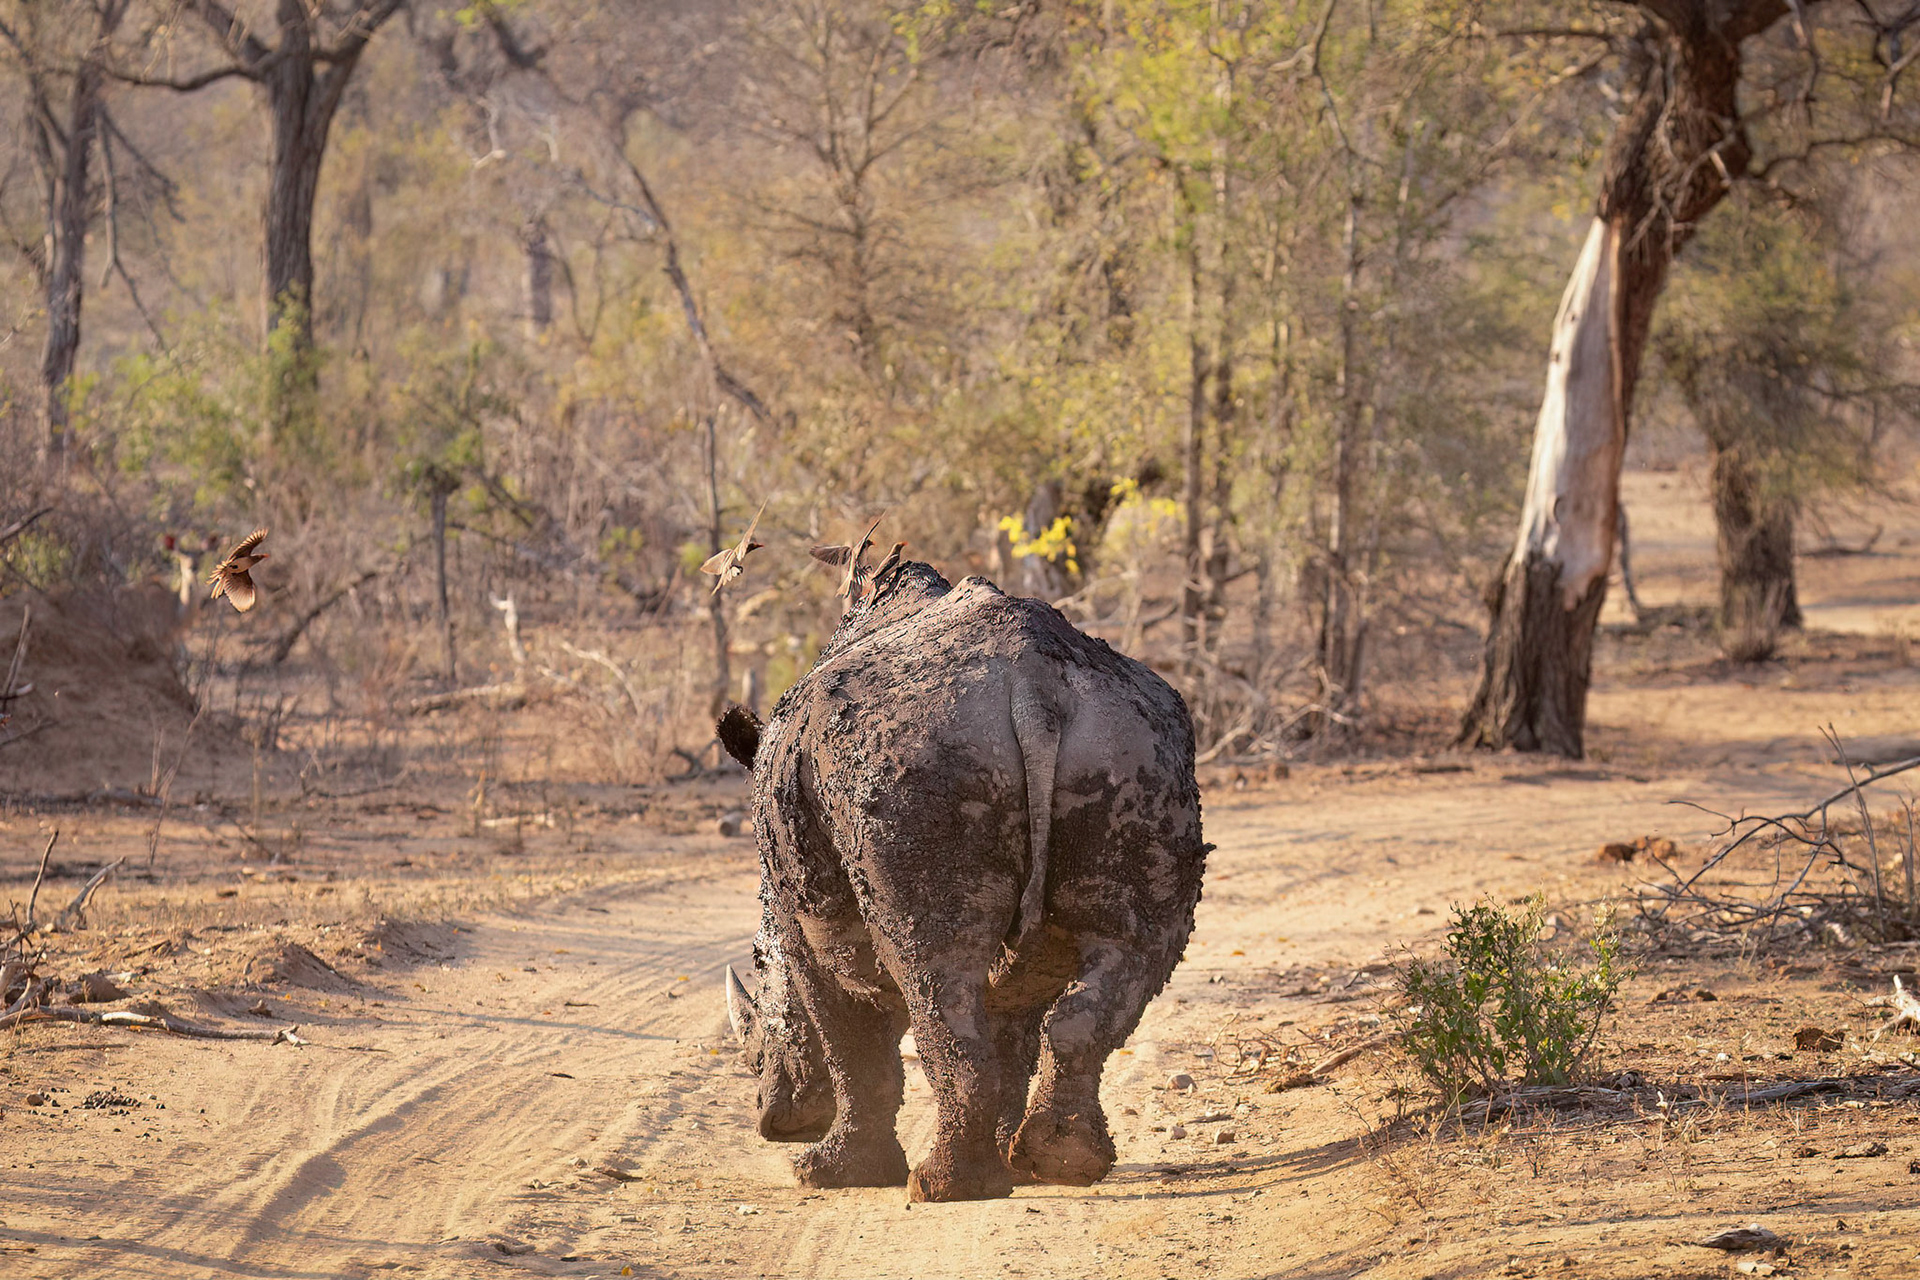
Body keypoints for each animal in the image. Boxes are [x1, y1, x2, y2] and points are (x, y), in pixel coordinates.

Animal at [717, 559, 1208, 1202]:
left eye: (756, 962)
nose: (772, 1119)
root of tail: (1035, 683)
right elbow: (1011, 1034)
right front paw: (1010, 1163)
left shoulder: (801, 921)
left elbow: (851, 1038)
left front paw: (829, 1173)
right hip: (1134, 749)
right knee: (1130, 949)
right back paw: (1061, 1163)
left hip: (916, 762)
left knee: (933, 969)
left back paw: (938, 1186)